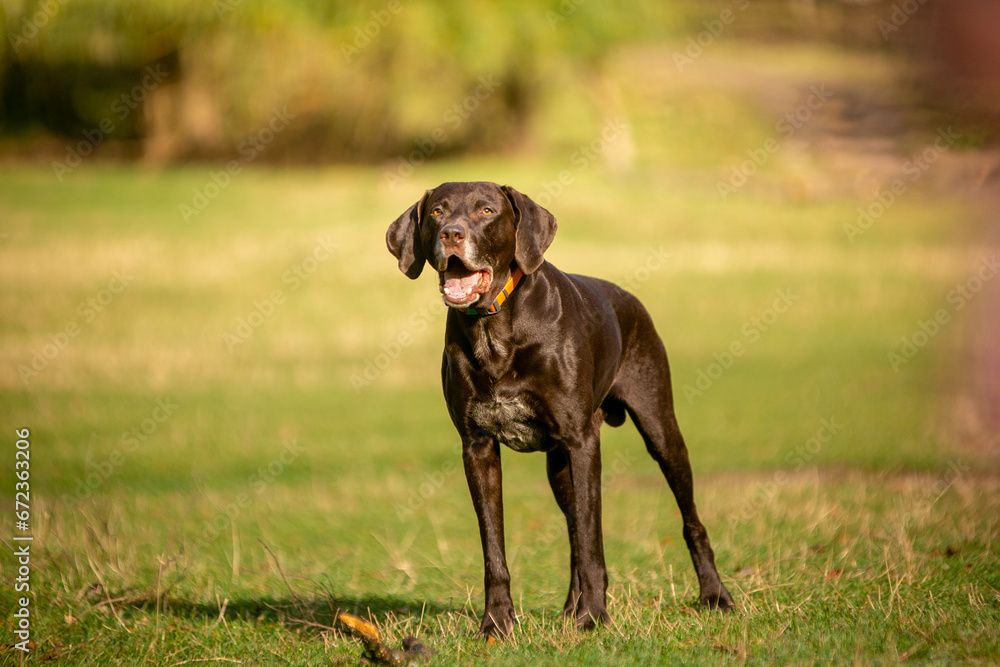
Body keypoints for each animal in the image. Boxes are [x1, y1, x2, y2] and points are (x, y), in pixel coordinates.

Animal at [386, 180, 732, 640]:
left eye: (486, 210)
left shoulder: (582, 442)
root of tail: (630, 299)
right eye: (437, 212)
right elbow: (495, 547)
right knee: (572, 533)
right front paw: (497, 622)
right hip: (559, 467)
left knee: (688, 519)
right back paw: (571, 608)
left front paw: (595, 617)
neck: (494, 328)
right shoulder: (477, 447)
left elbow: (590, 539)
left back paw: (714, 596)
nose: (452, 235)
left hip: (660, 429)